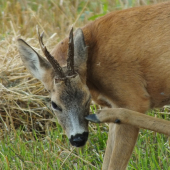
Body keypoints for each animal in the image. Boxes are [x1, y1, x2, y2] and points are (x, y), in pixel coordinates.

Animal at [17, 1, 170, 170]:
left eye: (87, 98)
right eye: (55, 104)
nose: (78, 138)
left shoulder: (132, 99)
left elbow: (114, 165)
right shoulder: (114, 104)